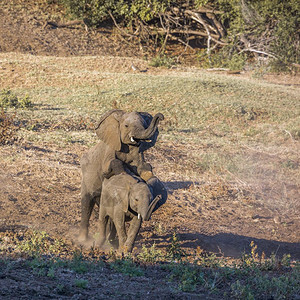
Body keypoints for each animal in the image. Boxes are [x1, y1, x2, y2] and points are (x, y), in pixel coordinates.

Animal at [78, 109, 164, 241]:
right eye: (126, 126)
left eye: (145, 125)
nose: (161, 116)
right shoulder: (110, 148)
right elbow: (112, 163)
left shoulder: (138, 154)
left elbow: (143, 168)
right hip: (86, 177)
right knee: (87, 204)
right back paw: (83, 240)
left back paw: (111, 240)